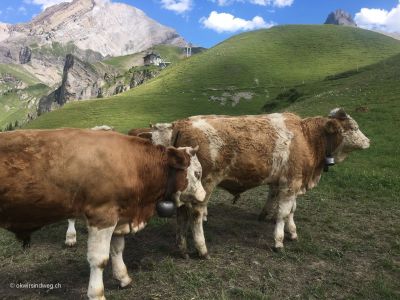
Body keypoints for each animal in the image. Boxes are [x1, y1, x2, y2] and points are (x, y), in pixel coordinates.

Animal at [0, 129, 206, 300]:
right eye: (197, 173)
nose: (204, 196)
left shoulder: (120, 216)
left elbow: (117, 249)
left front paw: (123, 277)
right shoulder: (102, 216)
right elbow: (99, 259)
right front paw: (97, 293)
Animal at [133, 109, 370, 256]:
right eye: (353, 127)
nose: (369, 141)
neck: (306, 137)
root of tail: (184, 124)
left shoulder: (289, 184)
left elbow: (291, 211)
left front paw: (292, 233)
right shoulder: (290, 183)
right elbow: (283, 213)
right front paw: (278, 241)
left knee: (182, 215)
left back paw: (182, 249)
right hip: (204, 184)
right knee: (196, 215)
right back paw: (201, 249)